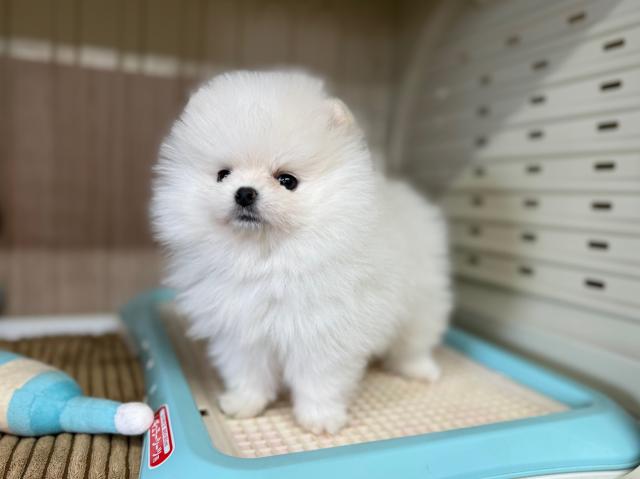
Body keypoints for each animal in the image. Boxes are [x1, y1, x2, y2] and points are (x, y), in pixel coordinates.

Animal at [151, 71, 452, 434]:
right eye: (223, 174)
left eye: (287, 180)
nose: (244, 193)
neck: (266, 259)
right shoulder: (242, 331)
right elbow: (248, 372)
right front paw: (245, 403)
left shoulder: (323, 332)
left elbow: (319, 381)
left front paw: (319, 418)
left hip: (422, 302)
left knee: (414, 340)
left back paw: (421, 370)